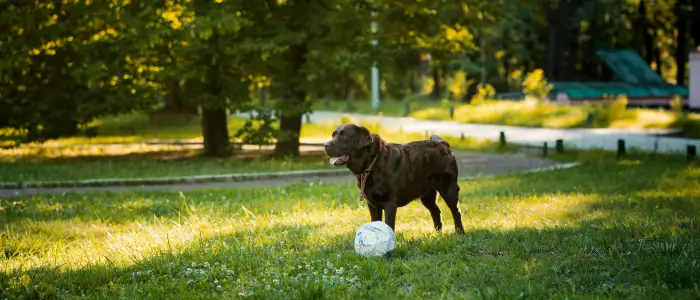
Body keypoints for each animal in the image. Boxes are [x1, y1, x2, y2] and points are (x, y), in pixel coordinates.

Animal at [324, 123, 464, 233]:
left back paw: (459, 233)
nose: (325, 145)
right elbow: (376, 221)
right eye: (333, 135)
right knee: (436, 211)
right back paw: (437, 234)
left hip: (448, 188)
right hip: (427, 195)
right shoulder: (373, 204)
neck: (373, 163)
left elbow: (389, 224)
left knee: (456, 211)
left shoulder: (390, 202)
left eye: (344, 136)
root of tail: (443, 144)